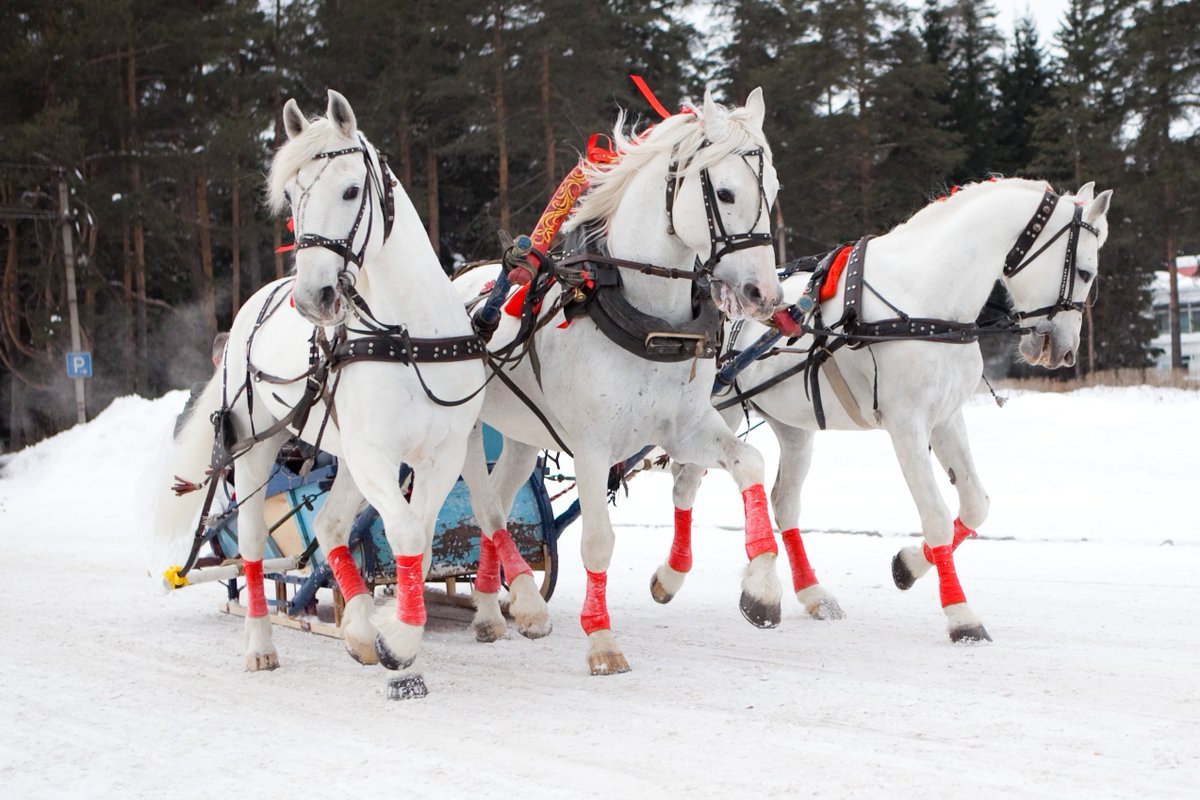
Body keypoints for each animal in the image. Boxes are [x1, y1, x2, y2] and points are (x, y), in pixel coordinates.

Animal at [154, 90, 487, 695]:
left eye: (351, 190)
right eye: (290, 196)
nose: (313, 298)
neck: (408, 337)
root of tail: (252, 304)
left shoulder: (440, 454)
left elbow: (422, 539)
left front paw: (386, 632)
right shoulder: (377, 453)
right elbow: (404, 531)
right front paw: (400, 641)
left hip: (346, 455)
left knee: (331, 524)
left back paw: (355, 627)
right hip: (257, 447)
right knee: (253, 545)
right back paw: (261, 644)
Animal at [456, 89, 787, 676]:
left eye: (772, 191)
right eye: (724, 192)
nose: (764, 295)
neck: (648, 317)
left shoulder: (685, 426)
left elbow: (747, 463)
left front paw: (761, 588)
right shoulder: (591, 446)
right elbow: (597, 542)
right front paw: (602, 640)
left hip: (520, 435)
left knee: (498, 502)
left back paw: (491, 610)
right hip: (466, 431)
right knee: (486, 506)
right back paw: (526, 604)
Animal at [662, 178, 1108, 642]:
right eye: (1085, 273)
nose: (1065, 351)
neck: (927, 299)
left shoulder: (946, 419)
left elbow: (975, 505)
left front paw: (908, 565)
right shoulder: (907, 425)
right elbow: (935, 515)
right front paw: (961, 615)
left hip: (793, 426)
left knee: (783, 503)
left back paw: (812, 593)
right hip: (717, 413)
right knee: (685, 485)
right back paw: (673, 576)